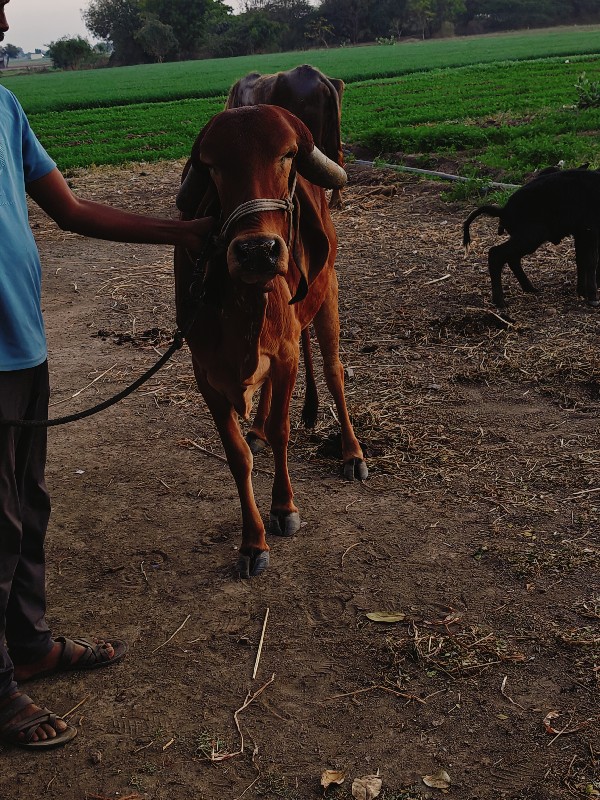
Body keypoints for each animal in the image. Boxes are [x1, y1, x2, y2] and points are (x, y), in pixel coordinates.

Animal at [176, 108, 368, 580]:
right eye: (213, 166)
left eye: (287, 156)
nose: (257, 251)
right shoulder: (205, 373)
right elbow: (237, 456)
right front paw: (252, 542)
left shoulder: (286, 355)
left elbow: (284, 431)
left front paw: (283, 508)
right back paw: (258, 428)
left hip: (328, 297)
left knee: (334, 372)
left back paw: (352, 452)